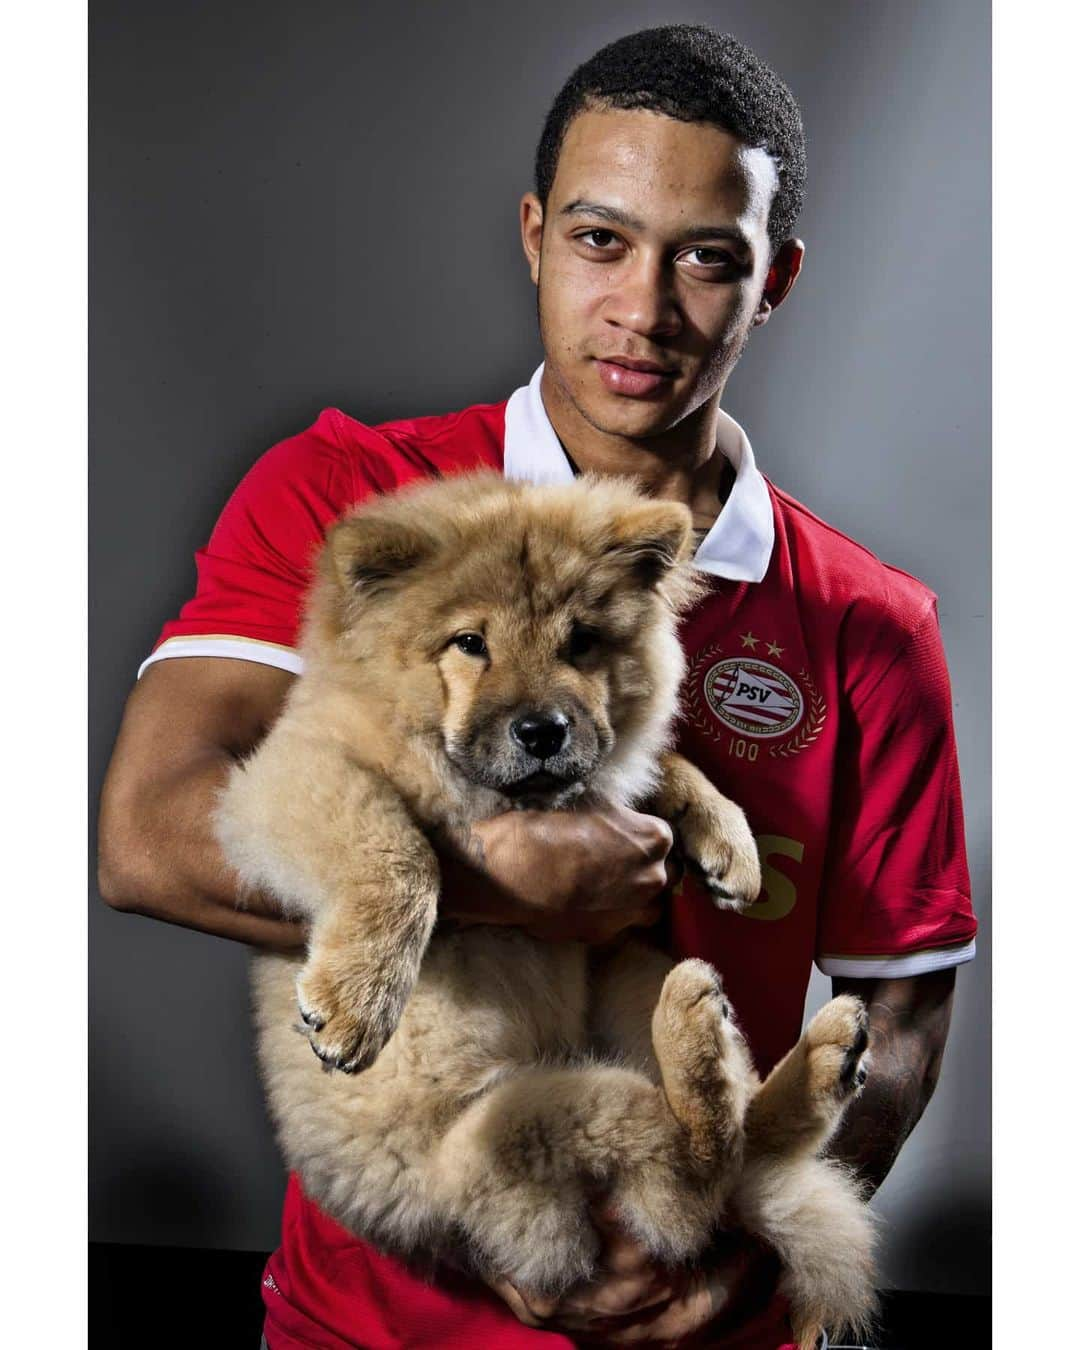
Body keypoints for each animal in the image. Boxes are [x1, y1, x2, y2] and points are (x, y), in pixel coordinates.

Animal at [217, 469, 874, 1344]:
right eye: (470, 643)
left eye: (582, 642)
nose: (543, 731)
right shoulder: (290, 772)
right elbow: (396, 850)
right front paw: (359, 1006)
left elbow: (658, 763)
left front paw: (730, 843)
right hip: (530, 1126)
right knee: (697, 1171)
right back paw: (730, 1036)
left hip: (627, 981)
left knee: (729, 1155)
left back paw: (819, 1047)